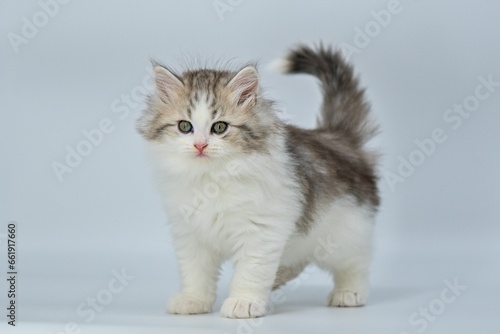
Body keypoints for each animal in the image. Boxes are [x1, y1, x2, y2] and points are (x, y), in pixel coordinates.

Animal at [137, 43, 378, 318]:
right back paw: (279, 278)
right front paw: (193, 300)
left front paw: (244, 303)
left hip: (344, 231)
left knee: (356, 262)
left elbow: (251, 271)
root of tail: (337, 137)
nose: (200, 145)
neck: (211, 178)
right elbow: (195, 272)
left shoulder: (261, 231)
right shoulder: (189, 232)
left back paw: (349, 293)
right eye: (185, 127)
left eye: (219, 127)